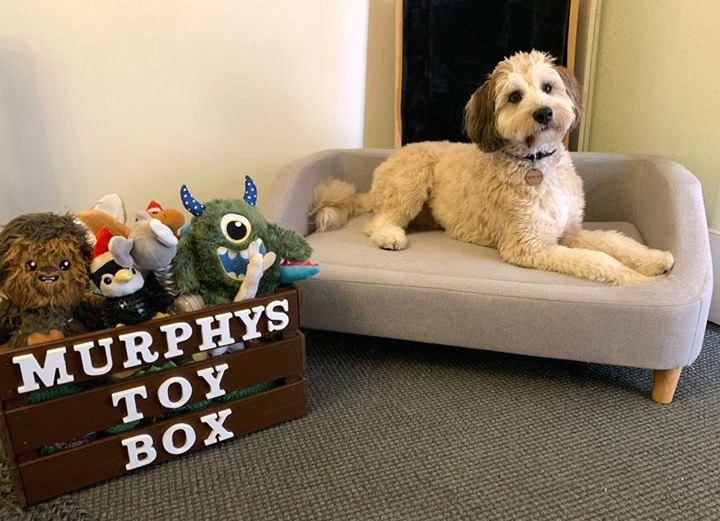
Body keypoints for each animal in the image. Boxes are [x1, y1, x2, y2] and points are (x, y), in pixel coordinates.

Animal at [310, 49, 676, 284]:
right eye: (514, 97)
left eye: (548, 87)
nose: (544, 112)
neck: (536, 164)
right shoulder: (529, 246)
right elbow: (600, 260)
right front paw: (634, 278)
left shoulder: (570, 232)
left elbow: (616, 242)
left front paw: (654, 260)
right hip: (410, 182)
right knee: (380, 220)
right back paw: (390, 235)